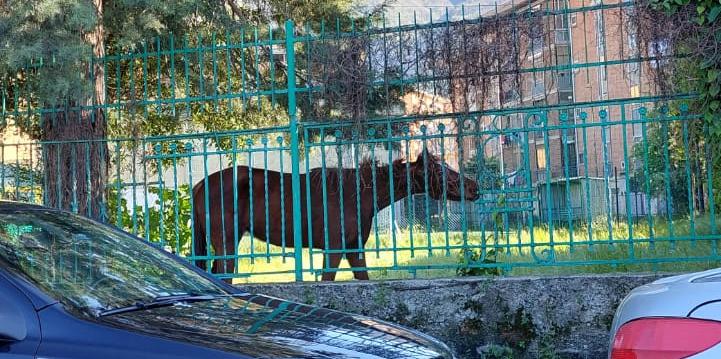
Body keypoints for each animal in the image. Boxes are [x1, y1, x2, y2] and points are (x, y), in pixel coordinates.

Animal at [194, 151, 480, 282]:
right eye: (439, 171)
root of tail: (200, 185)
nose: (474, 187)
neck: (357, 194)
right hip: (227, 245)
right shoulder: (334, 249)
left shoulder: (354, 250)